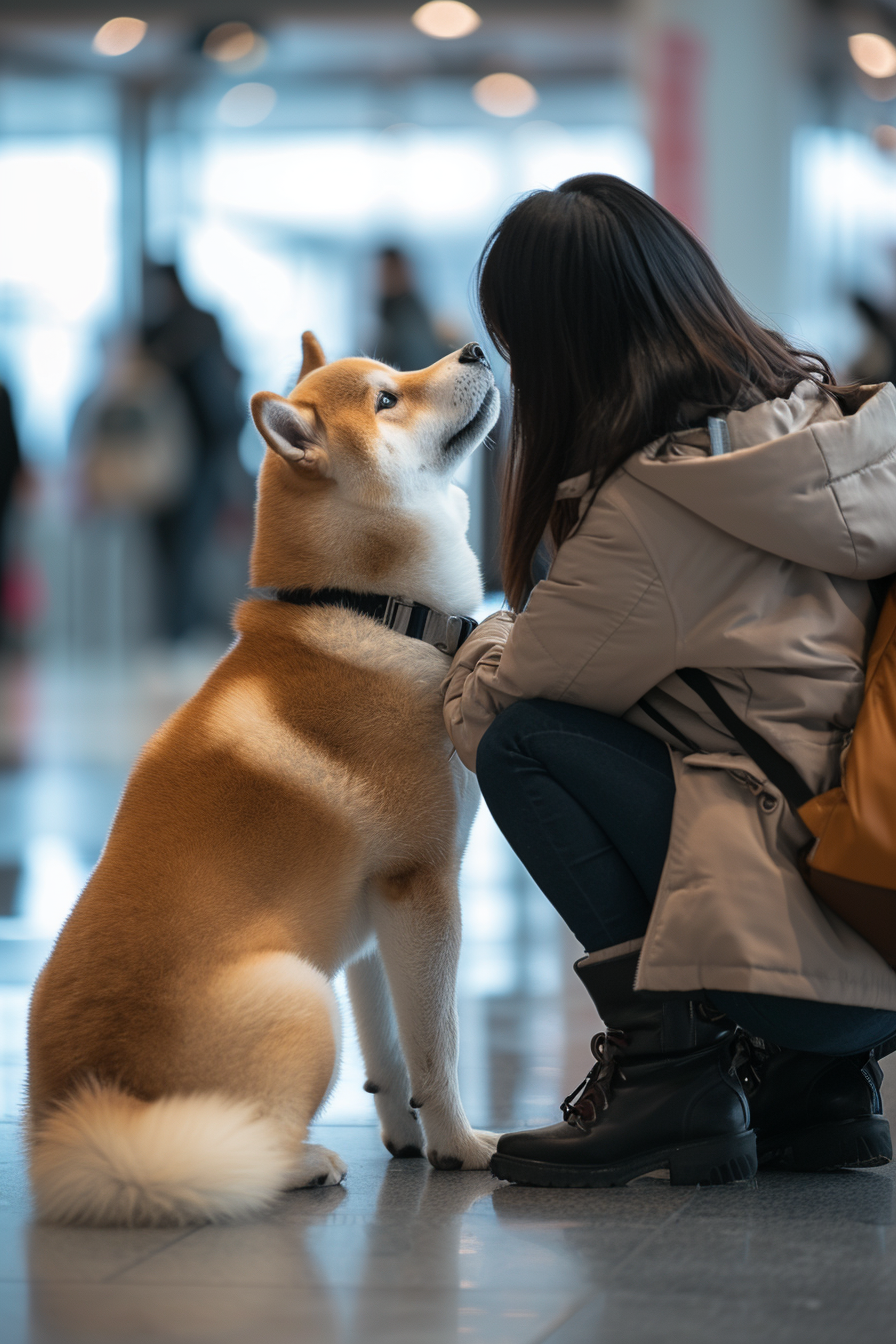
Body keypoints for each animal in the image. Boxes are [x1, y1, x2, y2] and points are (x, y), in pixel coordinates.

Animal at [28, 330, 502, 1225]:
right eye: (387, 399)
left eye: (396, 371)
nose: (472, 349)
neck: (368, 609)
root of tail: (81, 1128)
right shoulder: (423, 888)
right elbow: (440, 1047)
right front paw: (461, 1146)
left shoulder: (377, 918)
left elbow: (392, 1052)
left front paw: (409, 1139)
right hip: (302, 995)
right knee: (248, 1148)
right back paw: (303, 1163)